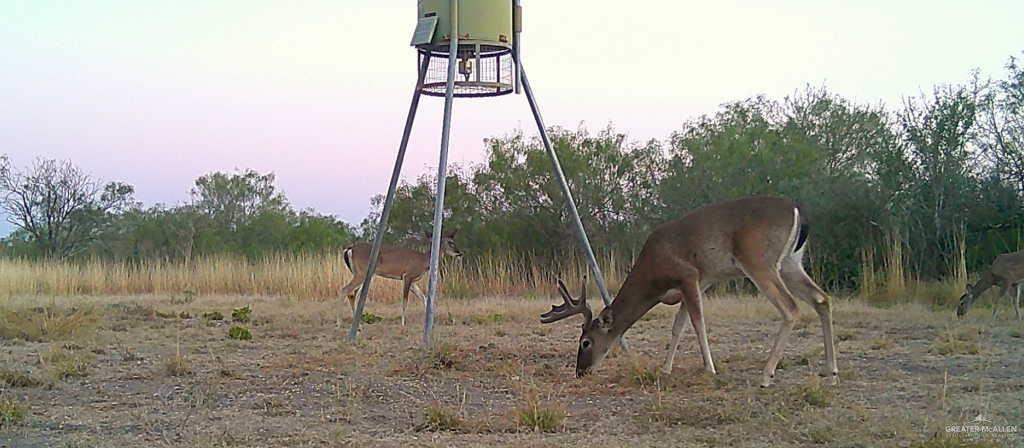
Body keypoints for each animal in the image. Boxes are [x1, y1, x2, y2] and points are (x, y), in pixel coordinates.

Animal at [540, 196, 835, 388]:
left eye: (585, 342)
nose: (580, 372)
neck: (653, 275)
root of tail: (798, 211)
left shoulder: (690, 275)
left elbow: (697, 322)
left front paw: (710, 368)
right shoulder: (695, 284)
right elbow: (678, 327)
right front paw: (665, 369)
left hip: (759, 259)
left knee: (791, 307)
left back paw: (766, 375)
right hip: (791, 262)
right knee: (822, 299)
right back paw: (830, 372)